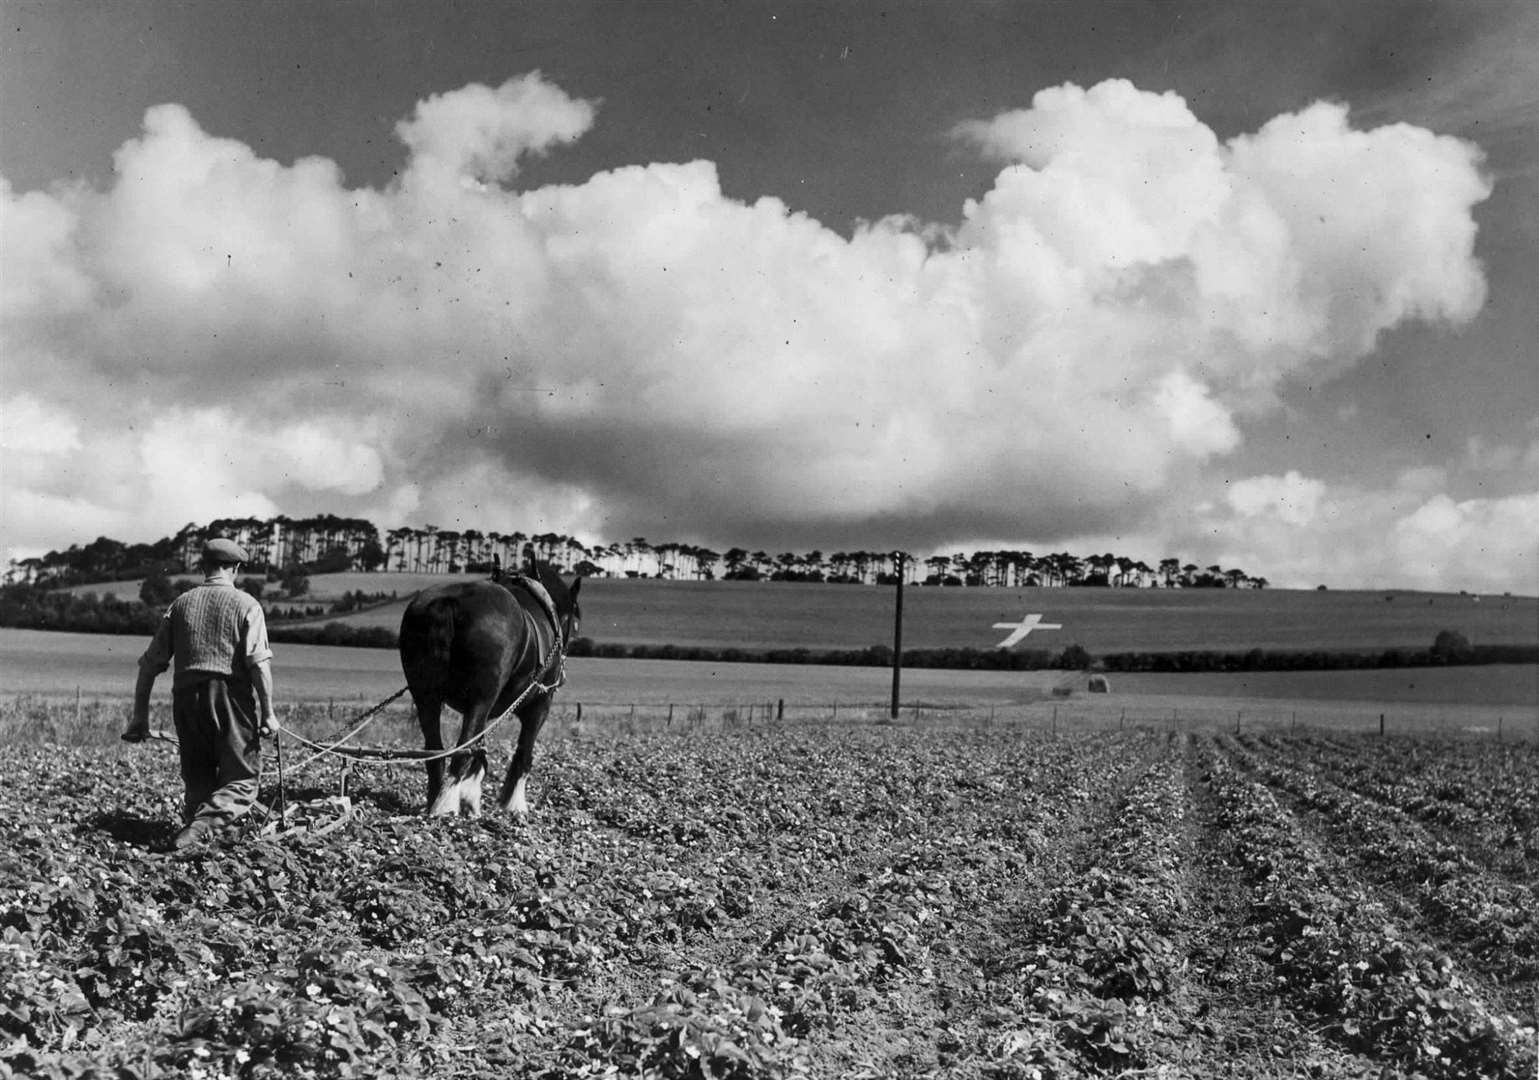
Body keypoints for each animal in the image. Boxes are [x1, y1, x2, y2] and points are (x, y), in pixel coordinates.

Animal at [400, 560, 578, 818]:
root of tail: (450, 602)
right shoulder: (539, 705)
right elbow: (523, 754)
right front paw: (515, 805)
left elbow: (480, 749)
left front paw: (470, 798)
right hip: (481, 699)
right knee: (461, 750)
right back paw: (445, 807)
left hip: (427, 697)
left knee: (436, 752)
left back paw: (435, 801)